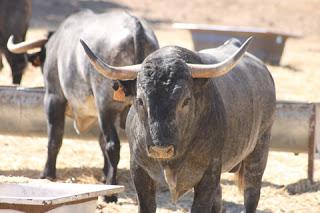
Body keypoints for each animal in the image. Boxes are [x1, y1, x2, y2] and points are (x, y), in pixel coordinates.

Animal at [8, 9, 160, 202]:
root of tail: (135, 27)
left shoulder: (54, 97)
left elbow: (54, 137)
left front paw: (47, 174)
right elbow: (100, 141)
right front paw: (104, 173)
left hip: (105, 105)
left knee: (113, 145)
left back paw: (110, 192)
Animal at [80, 37, 278, 212]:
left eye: (186, 100)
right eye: (140, 100)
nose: (161, 148)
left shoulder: (209, 175)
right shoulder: (139, 171)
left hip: (259, 152)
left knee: (251, 195)